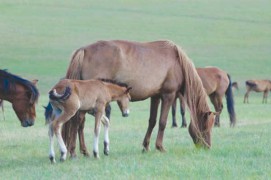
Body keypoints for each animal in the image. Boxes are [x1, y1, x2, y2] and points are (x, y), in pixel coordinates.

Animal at [62, 39, 217, 156]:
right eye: (206, 126)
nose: (208, 147)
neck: (177, 62)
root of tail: (84, 50)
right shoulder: (168, 95)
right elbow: (162, 122)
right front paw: (160, 147)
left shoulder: (156, 96)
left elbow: (152, 121)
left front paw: (146, 146)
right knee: (78, 121)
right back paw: (75, 151)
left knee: (80, 123)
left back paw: (82, 151)